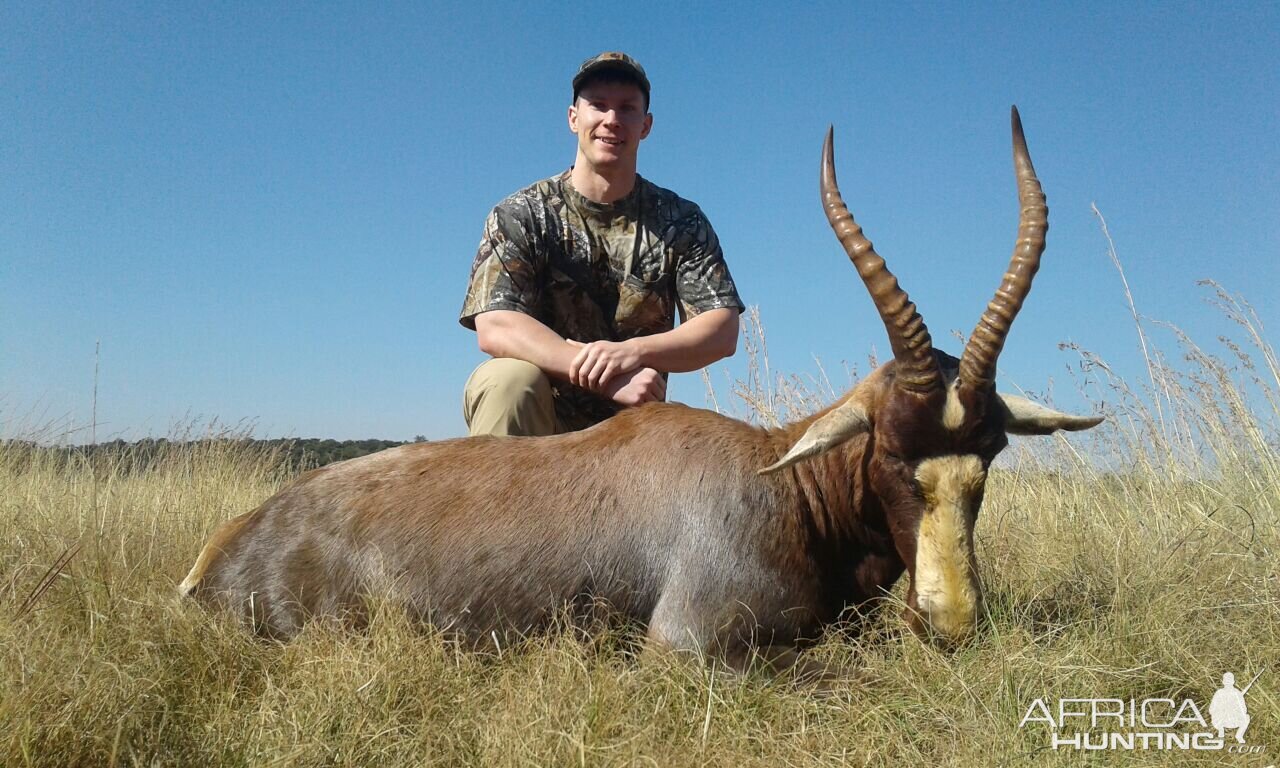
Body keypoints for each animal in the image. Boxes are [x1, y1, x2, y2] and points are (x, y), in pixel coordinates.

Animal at [180, 106, 1100, 665]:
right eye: (889, 451)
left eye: (989, 456)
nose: (950, 624)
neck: (781, 483)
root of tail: (232, 544)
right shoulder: (689, 647)